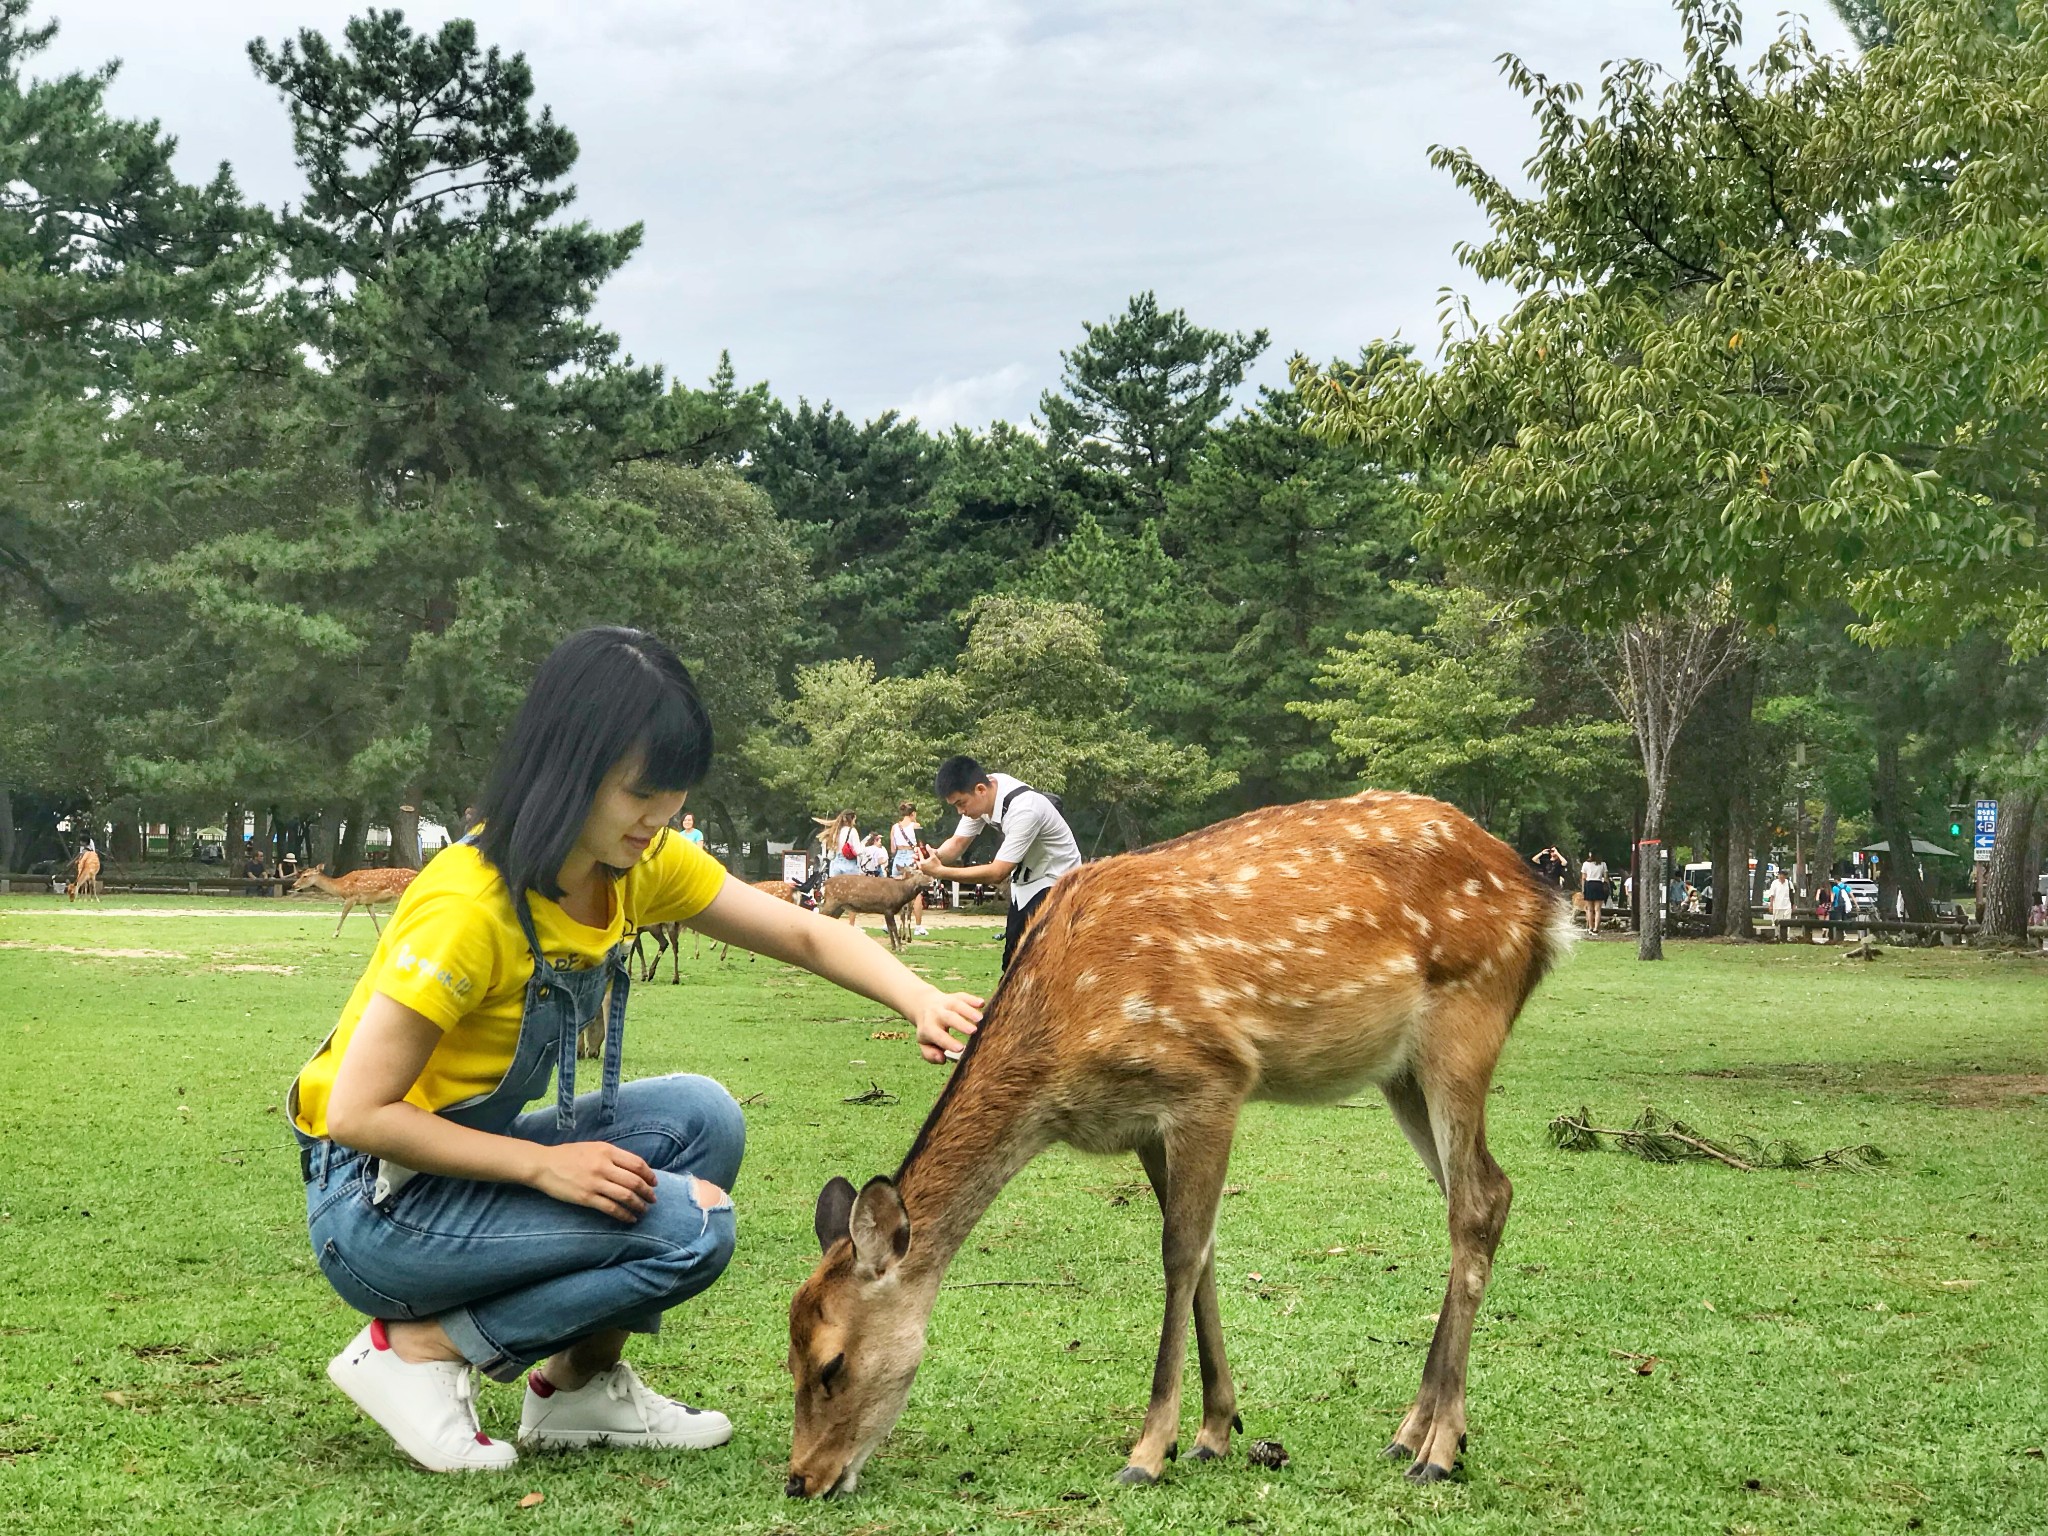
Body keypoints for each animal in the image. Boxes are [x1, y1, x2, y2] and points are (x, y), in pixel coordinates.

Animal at [782, 794, 1564, 1507]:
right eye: (785, 1353)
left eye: (832, 1364)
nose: (801, 1479)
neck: (1059, 1055)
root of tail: (1543, 905)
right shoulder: (1144, 1127)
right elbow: (1205, 1254)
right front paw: (1216, 1431)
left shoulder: (1209, 1082)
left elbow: (1181, 1253)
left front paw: (1149, 1451)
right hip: (1400, 1073)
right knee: (1484, 1193)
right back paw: (1410, 1431)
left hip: (1466, 1019)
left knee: (1477, 1200)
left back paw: (1439, 1448)